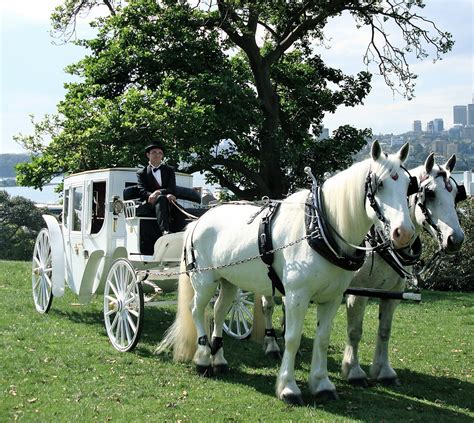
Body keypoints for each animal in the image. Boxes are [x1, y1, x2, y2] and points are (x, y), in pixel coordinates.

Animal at [157, 141, 412, 406]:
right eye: (379, 184)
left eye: (408, 184)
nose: (403, 233)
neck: (318, 227)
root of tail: (198, 220)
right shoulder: (297, 296)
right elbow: (292, 338)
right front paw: (288, 387)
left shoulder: (332, 298)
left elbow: (322, 338)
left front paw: (321, 384)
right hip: (204, 280)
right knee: (197, 310)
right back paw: (203, 358)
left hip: (228, 281)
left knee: (218, 312)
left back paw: (219, 359)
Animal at [342, 153, 464, 388]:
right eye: (430, 193)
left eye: (455, 194)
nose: (456, 239)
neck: (380, 240)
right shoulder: (358, 293)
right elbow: (355, 331)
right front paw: (354, 371)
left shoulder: (393, 293)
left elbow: (384, 331)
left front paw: (384, 371)